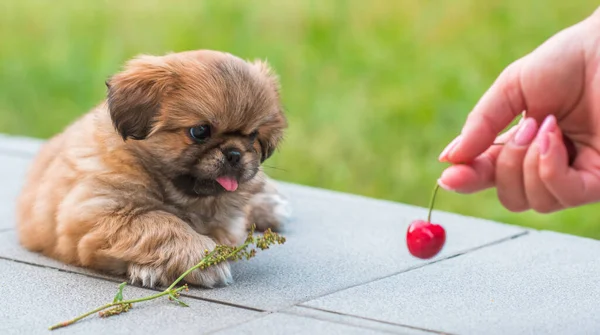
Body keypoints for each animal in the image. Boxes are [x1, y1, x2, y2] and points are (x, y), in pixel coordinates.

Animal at [15, 49, 292, 288]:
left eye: (253, 135)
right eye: (200, 131)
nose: (234, 154)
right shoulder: (94, 213)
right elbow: (162, 222)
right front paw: (201, 259)